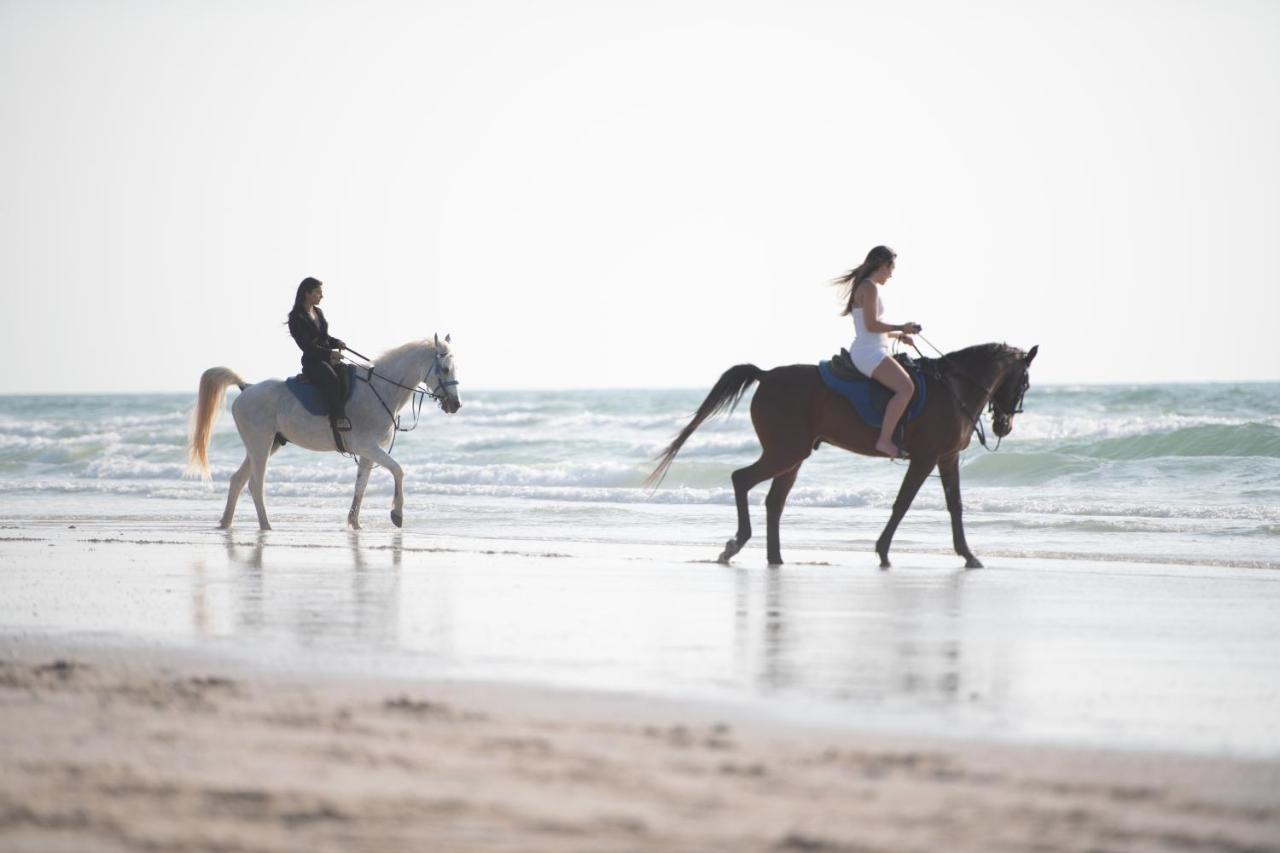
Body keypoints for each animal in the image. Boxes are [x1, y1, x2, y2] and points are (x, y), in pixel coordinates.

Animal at [186, 335, 463, 527]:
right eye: (445, 369)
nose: (456, 405)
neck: (381, 390)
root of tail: (246, 387)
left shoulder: (367, 453)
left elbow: (360, 487)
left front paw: (354, 523)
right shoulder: (368, 446)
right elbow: (398, 470)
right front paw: (397, 514)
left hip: (267, 445)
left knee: (237, 480)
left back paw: (226, 523)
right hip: (260, 445)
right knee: (255, 484)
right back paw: (265, 526)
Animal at [650, 343, 1039, 568]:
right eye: (1024, 382)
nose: (1004, 425)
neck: (954, 389)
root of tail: (767, 375)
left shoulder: (946, 458)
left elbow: (955, 505)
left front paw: (969, 555)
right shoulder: (925, 458)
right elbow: (903, 503)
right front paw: (883, 550)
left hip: (792, 456)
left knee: (774, 502)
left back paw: (775, 557)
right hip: (785, 451)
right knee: (741, 479)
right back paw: (736, 544)